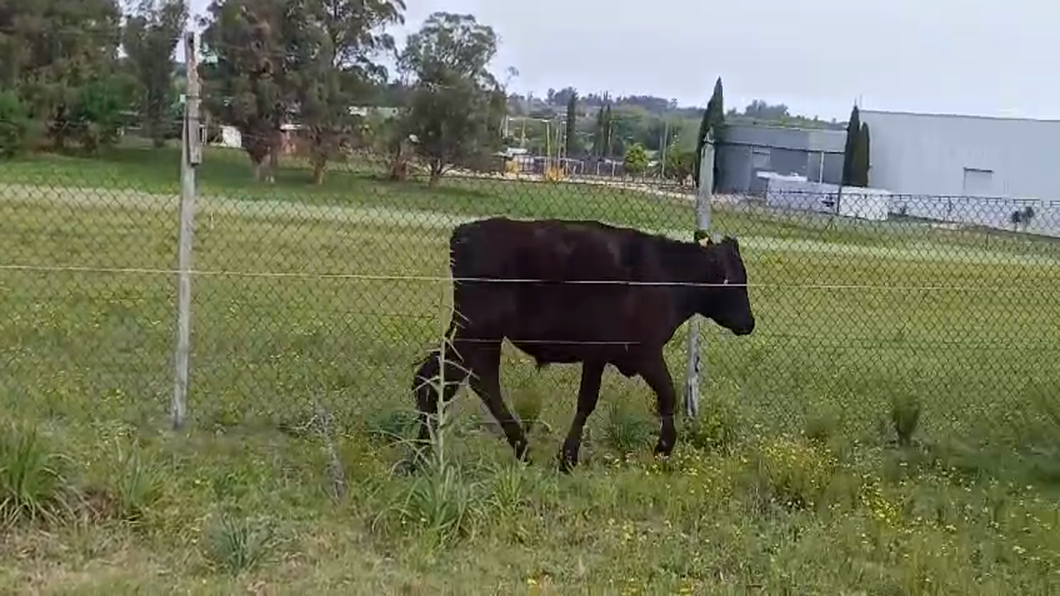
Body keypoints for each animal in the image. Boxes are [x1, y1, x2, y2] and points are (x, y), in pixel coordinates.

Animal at [407, 215, 754, 470]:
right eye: (736, 281)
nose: (749, 323)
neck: (668, 275)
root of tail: (465, 232)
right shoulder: (643, 351)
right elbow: (665, 395)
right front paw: (662, 449)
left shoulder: (600, 355)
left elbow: (589, 401)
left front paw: (568, 457)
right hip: (476, 332)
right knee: (442, 380)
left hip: (480, 335)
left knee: (458, 380)